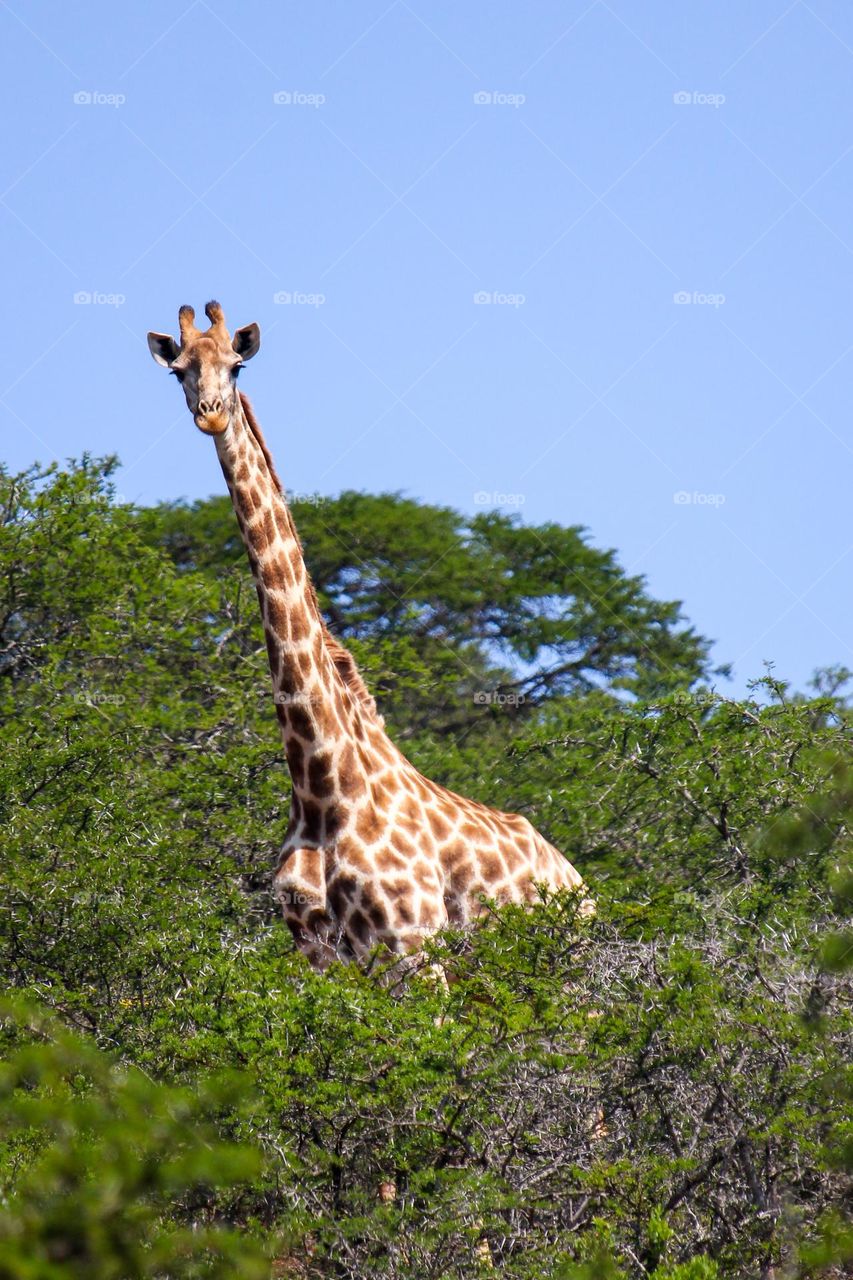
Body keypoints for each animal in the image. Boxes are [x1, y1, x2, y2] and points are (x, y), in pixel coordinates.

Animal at [147, 302, 591, 967]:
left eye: (237, 364)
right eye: (178, 371)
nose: (212, 414)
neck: (324, 788)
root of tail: (582, 886)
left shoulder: (411, 943)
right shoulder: (318, 956)